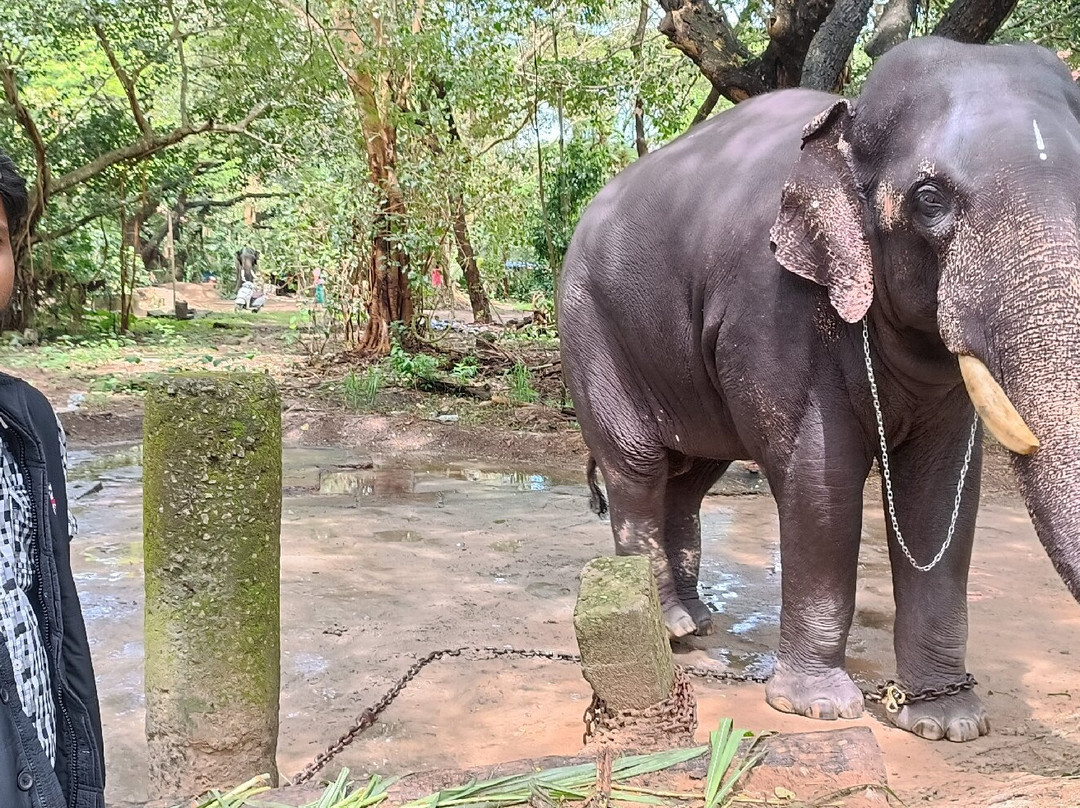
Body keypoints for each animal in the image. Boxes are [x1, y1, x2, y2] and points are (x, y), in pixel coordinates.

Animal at [557, 37, 1080, 743]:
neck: (846, 116)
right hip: (590, 328)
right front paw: (819, 708)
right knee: (638, 467)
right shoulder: (772, 306)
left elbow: (938, 494)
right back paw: (672, 626)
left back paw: (699, 620)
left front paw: (948, 722)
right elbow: (819, 479)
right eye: (929, 200)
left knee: (690, 477)